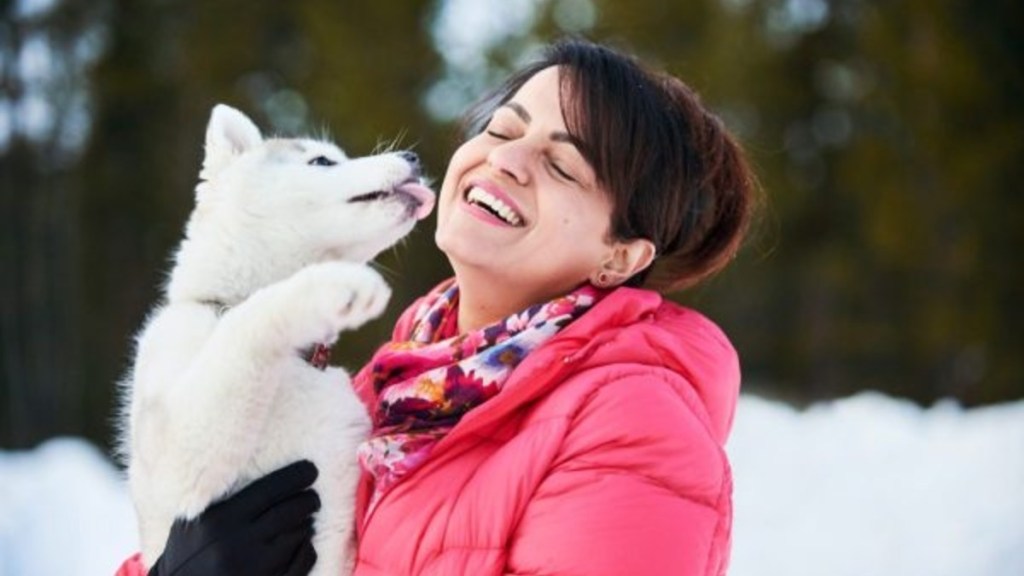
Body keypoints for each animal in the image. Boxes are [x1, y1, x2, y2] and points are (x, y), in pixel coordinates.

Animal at [119, 104, 432, 573]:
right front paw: (331, 286)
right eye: (321, 161)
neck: (295, 360)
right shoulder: (180, 462)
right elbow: (248, 319)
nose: (413, 157)